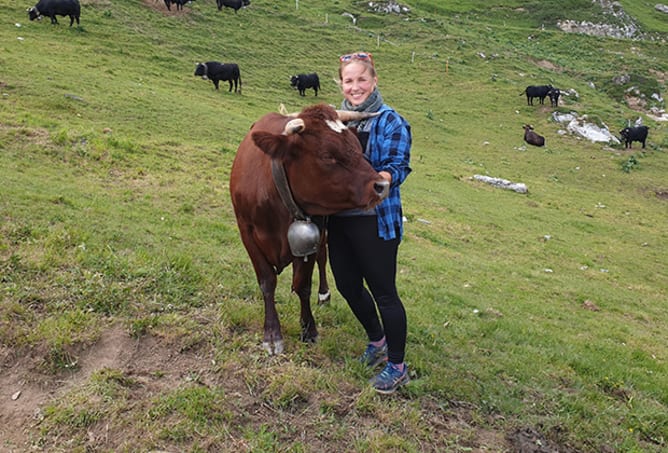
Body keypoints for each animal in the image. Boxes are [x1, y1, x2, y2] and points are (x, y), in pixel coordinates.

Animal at [230, 103, 388, 354]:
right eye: (327, 155)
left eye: (357, 148)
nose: (382, 185)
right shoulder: (246, 231)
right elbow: (267, 282)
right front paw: (272, 334)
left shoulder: (313, 231)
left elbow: (302, 285)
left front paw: (309, 330)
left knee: (323, 257)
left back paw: (324, 294)